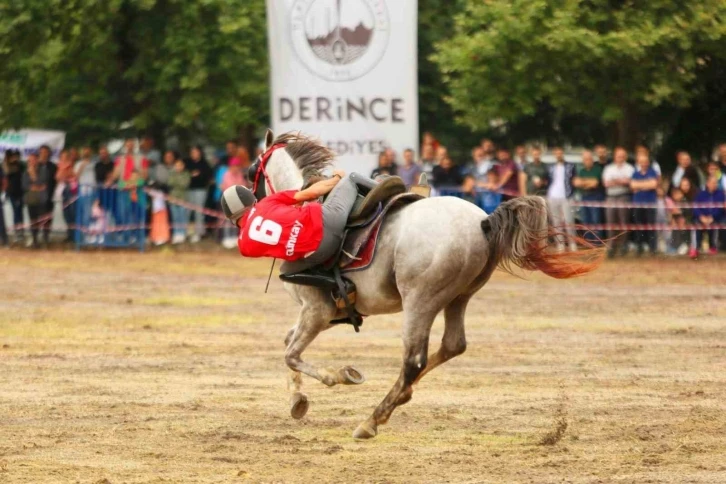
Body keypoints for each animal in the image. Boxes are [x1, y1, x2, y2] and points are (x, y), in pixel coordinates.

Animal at [256, 130, 604, 440]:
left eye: (253, 174)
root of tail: (483, 222)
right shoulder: (331, 311)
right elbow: (288, 344)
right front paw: (297, 399)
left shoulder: (317, 309)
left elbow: (291, 353)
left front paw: (337, 377)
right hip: (458, 298)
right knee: (452, 345)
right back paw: (402, 395)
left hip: (419, 302)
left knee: (414, 360)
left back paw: (372, 420)